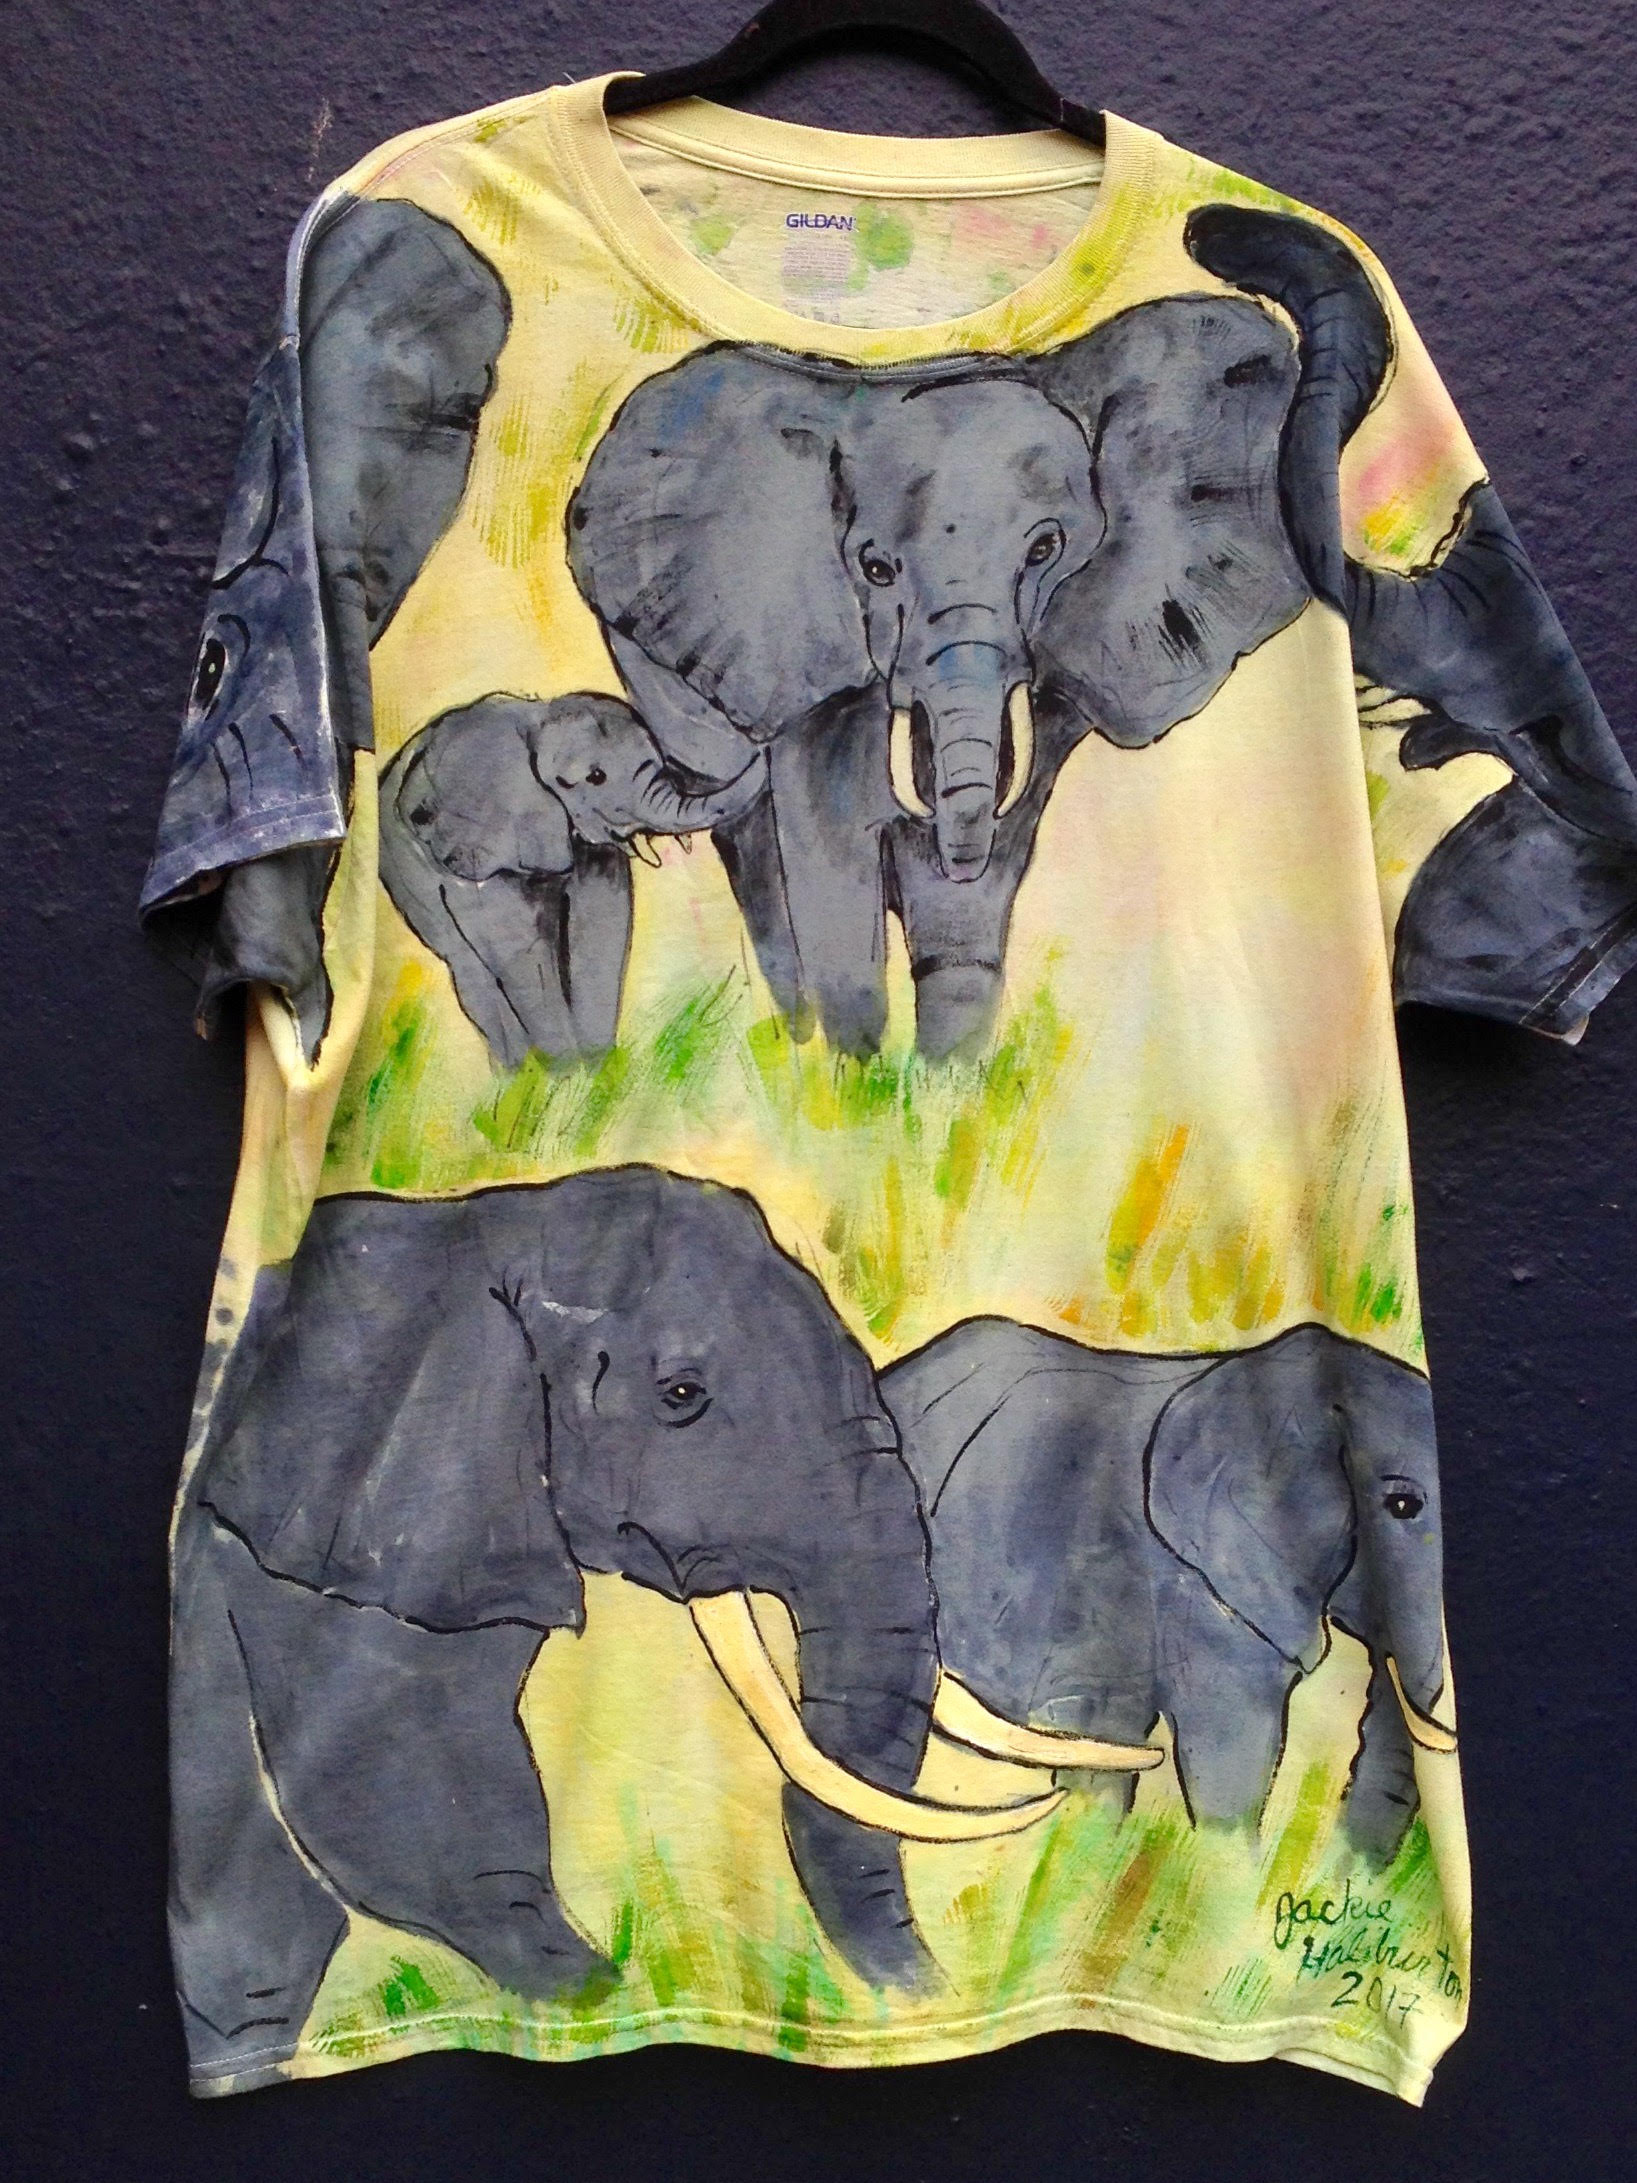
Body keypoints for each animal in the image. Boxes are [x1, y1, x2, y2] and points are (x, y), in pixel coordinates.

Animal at [170, 1165, 1158, 2083]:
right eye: (681, 1394)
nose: (935, 2005)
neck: (482, 1228)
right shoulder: (329, 1555)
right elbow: (409, 1825)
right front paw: (602, 2001)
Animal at [378, 692, 767, 1067]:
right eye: (596, 777)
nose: (761, 745)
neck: (538, 728)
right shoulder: (484, 843)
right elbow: (520, 947)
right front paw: (564, 1077)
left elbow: (599, 927)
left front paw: (599, 1074)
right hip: (405, 872)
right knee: (471, 972)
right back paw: (517, 1077)